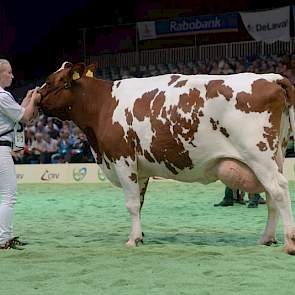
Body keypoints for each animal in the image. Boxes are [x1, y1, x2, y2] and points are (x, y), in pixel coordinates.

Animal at [38, 62, 295, 254]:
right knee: (272, 196)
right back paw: (266, 238)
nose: (37, 98)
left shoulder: (123, 159)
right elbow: (140, 203)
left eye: (51, 81)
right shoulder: (140, 169)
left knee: (279, 190)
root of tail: (271, 78)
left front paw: (132, 240)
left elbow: (131, 204)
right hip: (277, 156)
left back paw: (289, 242)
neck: (103, 105)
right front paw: (140, 235)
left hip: (259, 155)